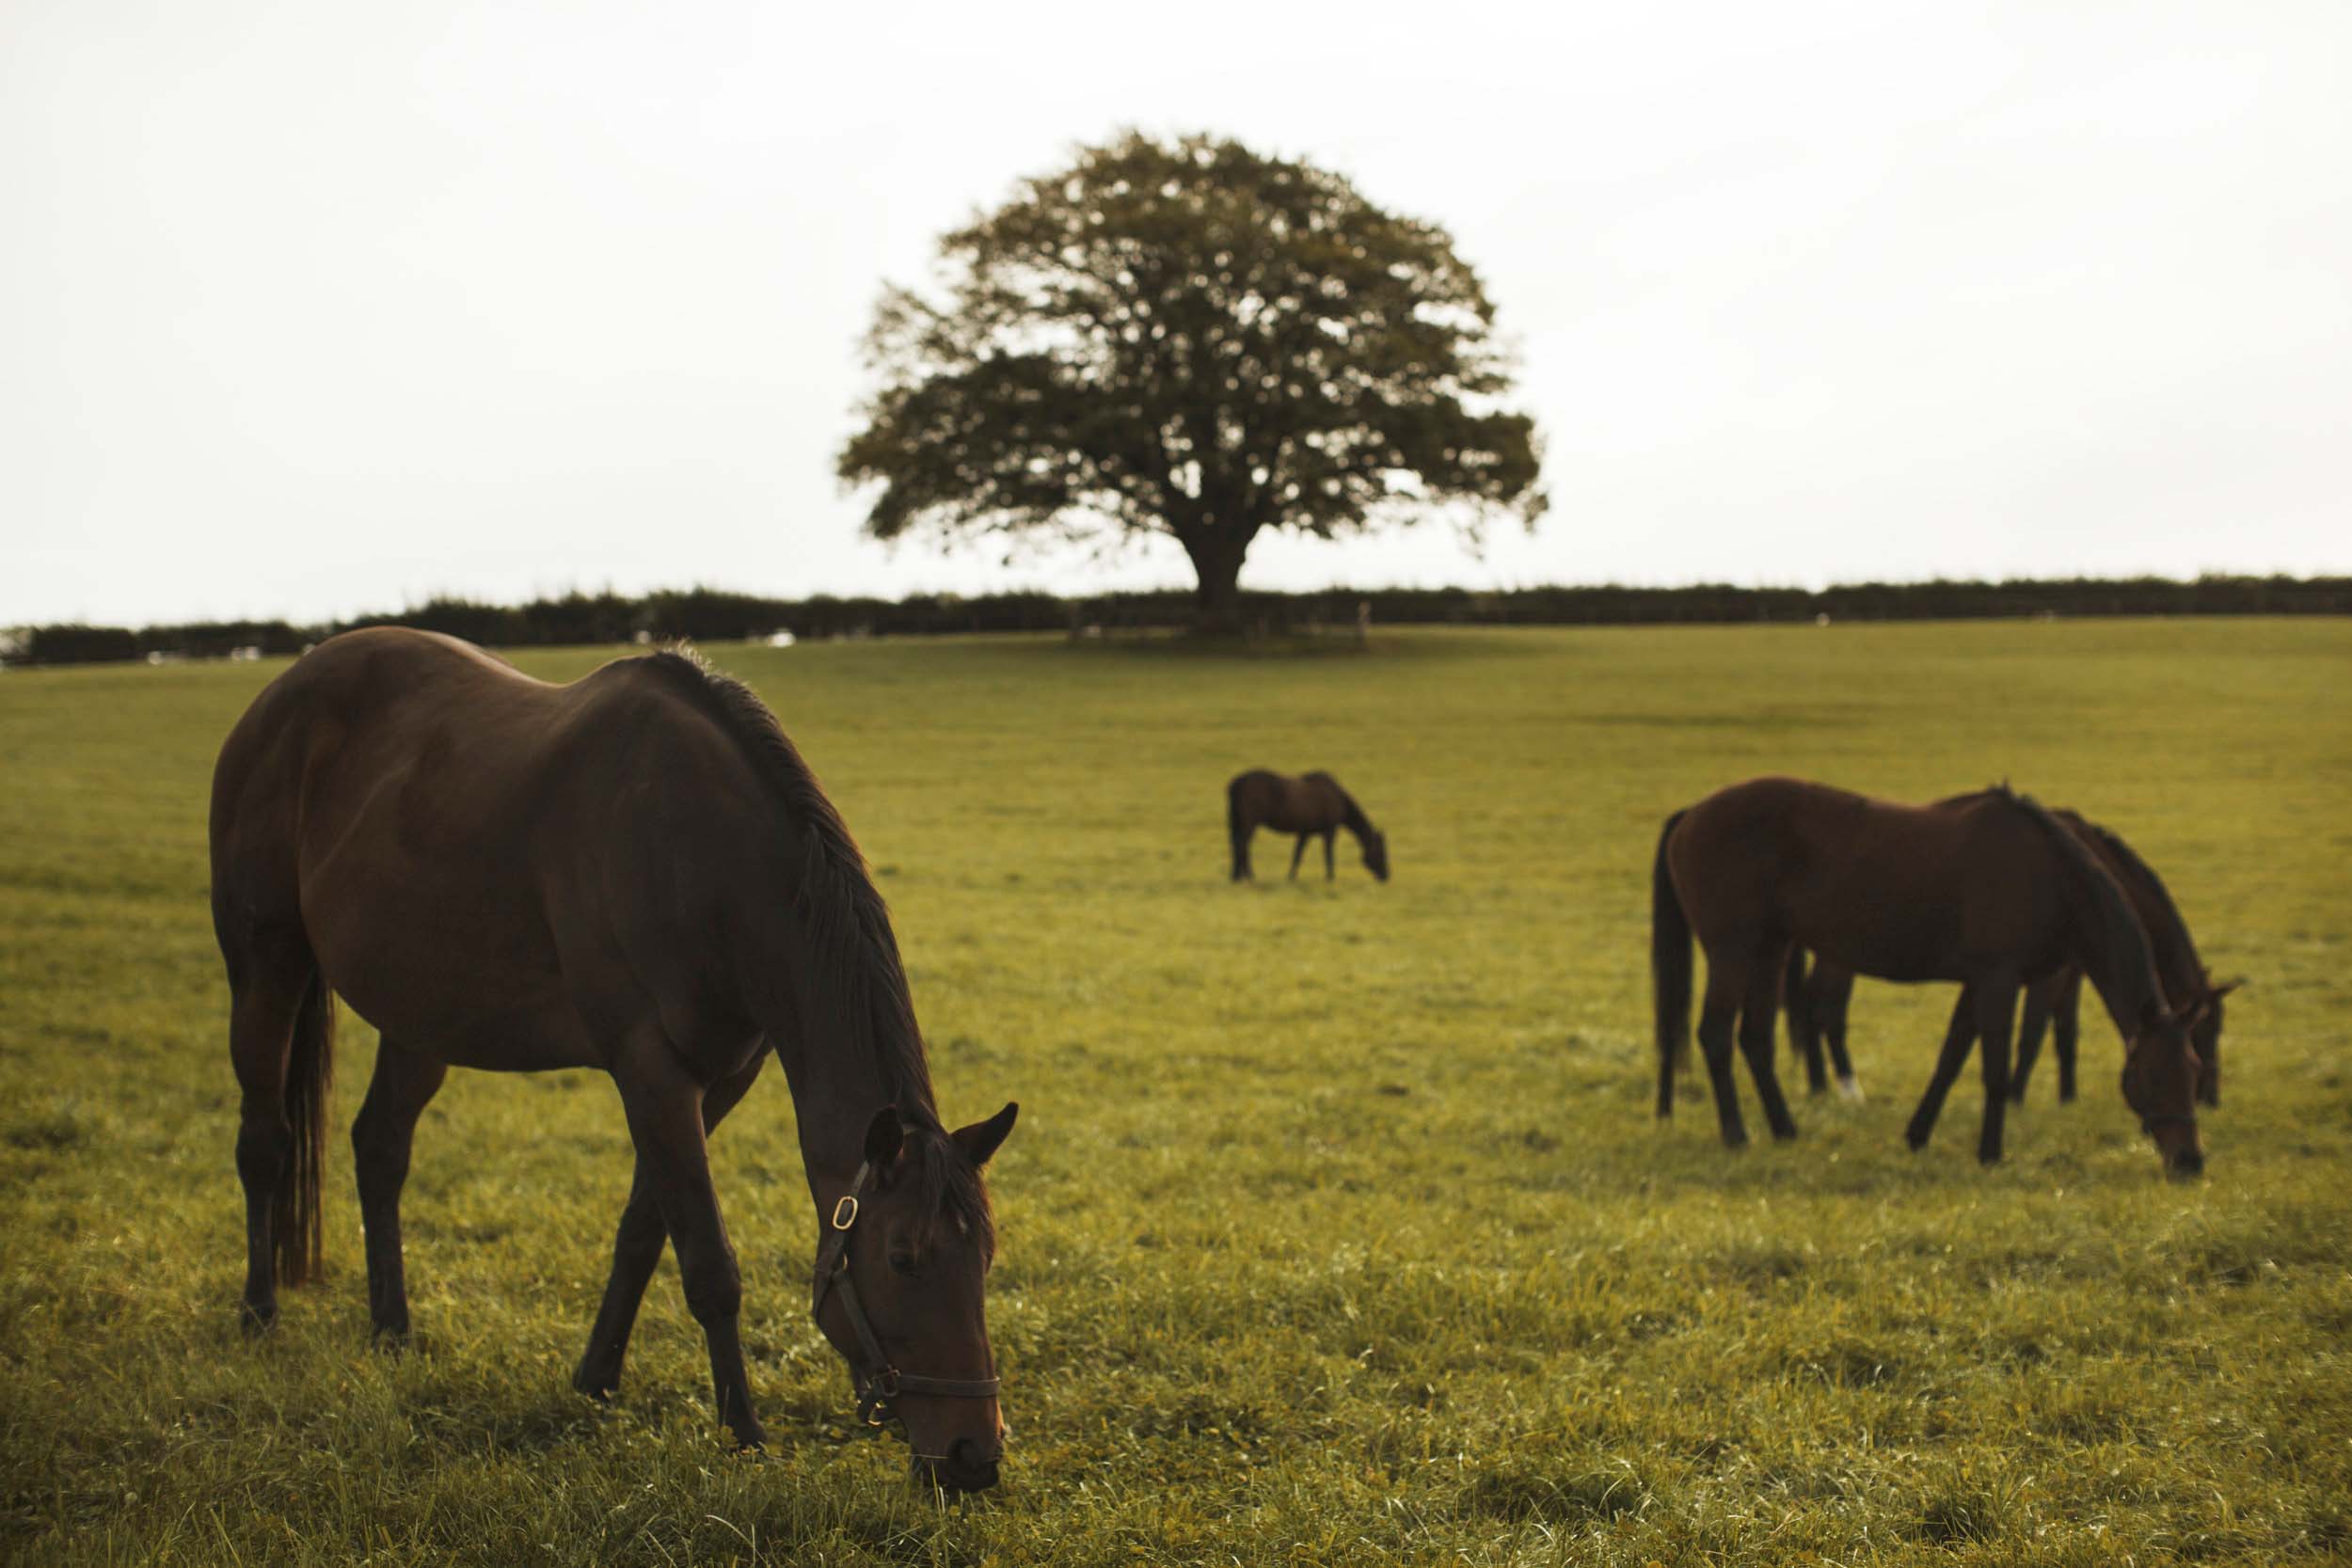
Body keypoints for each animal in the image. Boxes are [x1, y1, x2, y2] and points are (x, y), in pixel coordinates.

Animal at [218, 629, 1021, 1495]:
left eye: (984, 1255)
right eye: (904, 1257)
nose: (975, 1454)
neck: (702, 858)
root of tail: (279, 697)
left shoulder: (719, 1078)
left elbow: (644, 1229)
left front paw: (597, 1378)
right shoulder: (651, 1071)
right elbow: (708, 1261)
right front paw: (744, 1434)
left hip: (420, 1017)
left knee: (380, 1148)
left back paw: (391, 1328)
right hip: (266, 968)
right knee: (264, 1145)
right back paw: (259, 1313)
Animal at [1223, 770, 1383, 883]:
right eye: (1381, 851)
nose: (1385, 875)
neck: (1339, 800)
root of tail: (1236, 784)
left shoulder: (1305, 832)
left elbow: (1297, 855)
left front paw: (1291, 878)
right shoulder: (1330, 830)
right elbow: (1328, 854)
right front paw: (1330, 877)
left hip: (1238, 823)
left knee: (1237, 846)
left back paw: (1236, 876)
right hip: (1249, 824)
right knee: (1242, 846)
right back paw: (1248, 876)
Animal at [1788, 808, 2230, 1114]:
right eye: (2206, 1030)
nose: (2209, 1096)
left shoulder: (2073, 971)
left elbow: (2066, 1031)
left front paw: (2066, 1095)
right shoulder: (2047, 974)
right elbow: (2034, 1030)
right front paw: (2017, 1095)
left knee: (1810, 1005)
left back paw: (1819, 1085)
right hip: (1839, 957)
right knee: (1827, 1010)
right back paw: (1846, 1087)